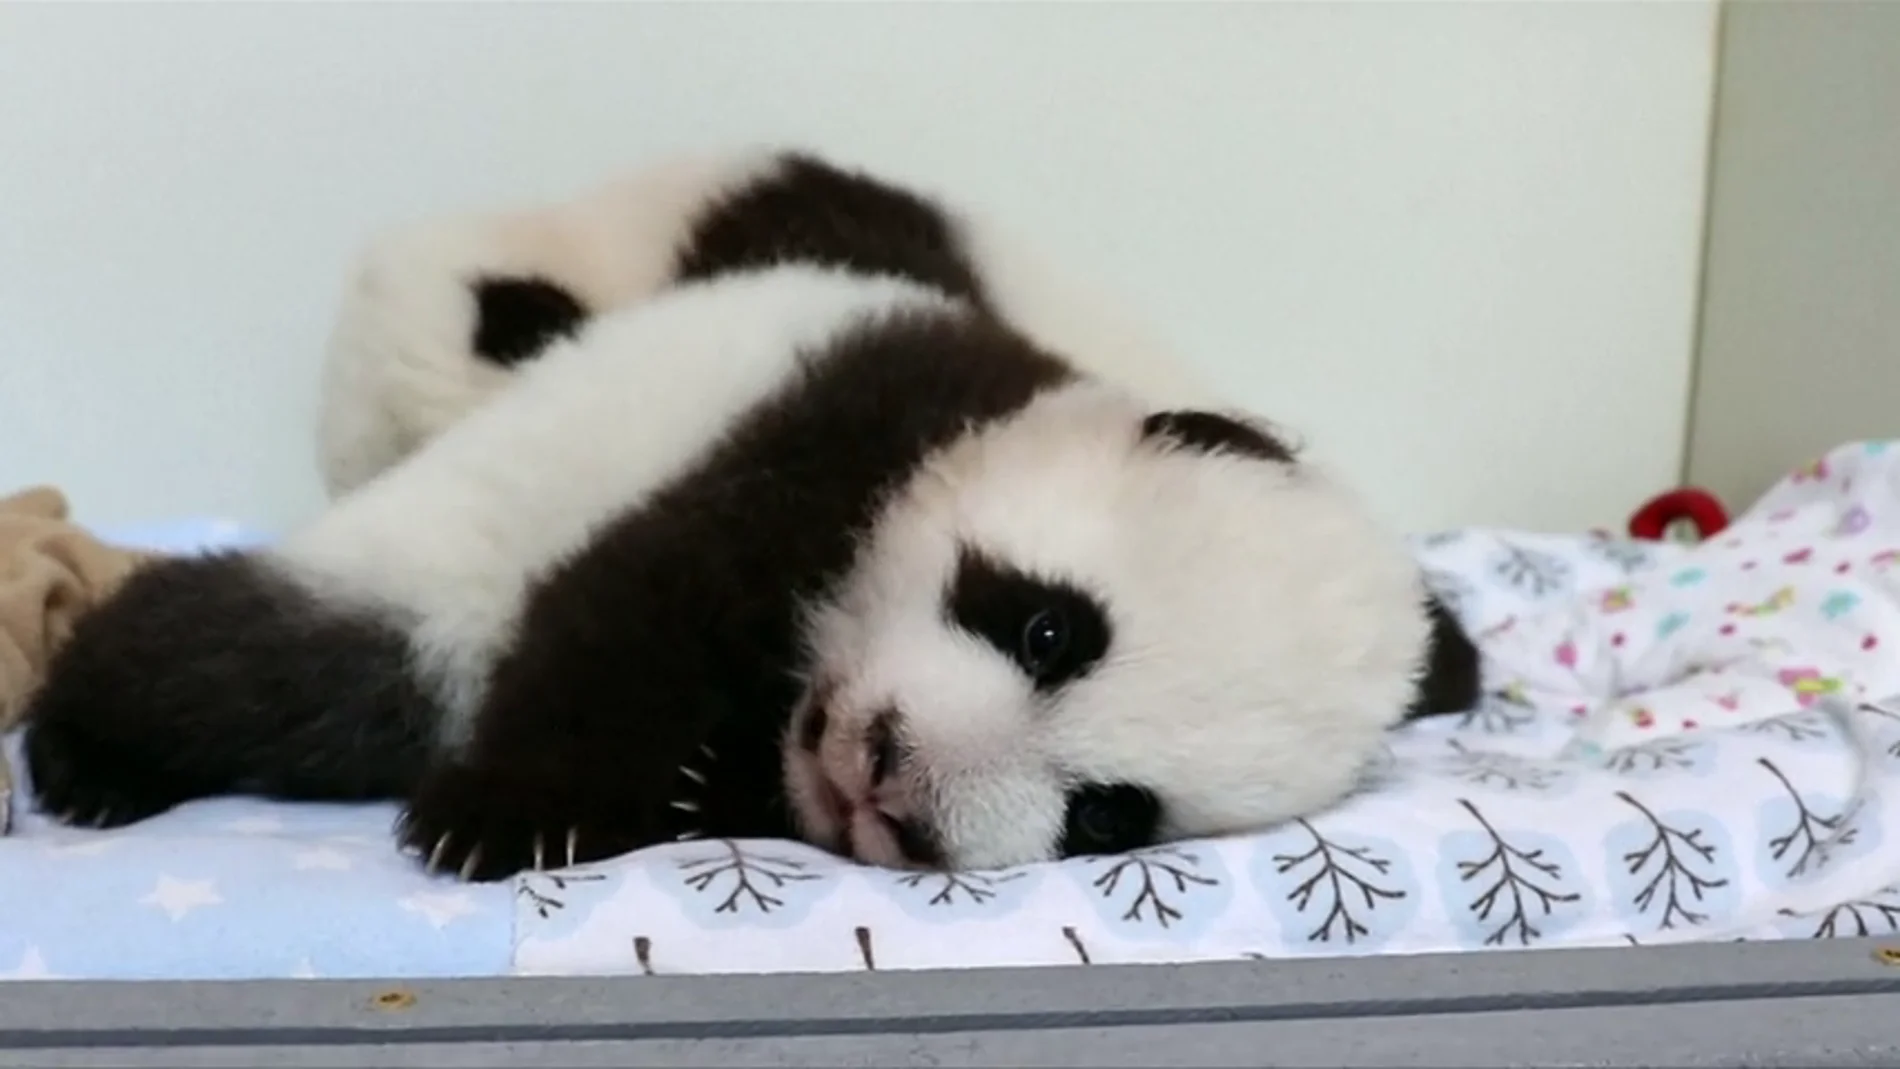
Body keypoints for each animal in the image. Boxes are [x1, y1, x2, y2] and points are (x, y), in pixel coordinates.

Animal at [22, 254, 1475, 882]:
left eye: (1108, 812)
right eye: (1050, 630)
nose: (894, 781)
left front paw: (669, 796)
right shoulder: (847, 414)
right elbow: (638, 603)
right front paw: (511, 811)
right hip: (435, 551)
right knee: (273, 662)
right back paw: (91, 752)